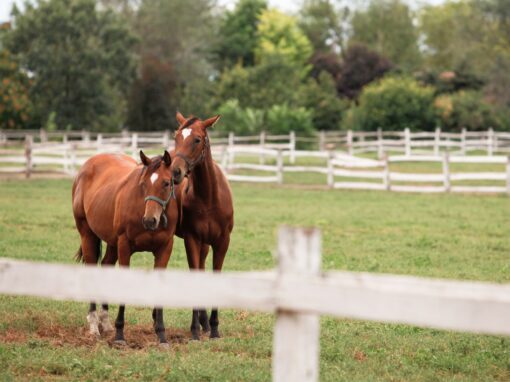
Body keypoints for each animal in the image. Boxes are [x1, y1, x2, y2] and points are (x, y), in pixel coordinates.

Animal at [71, 149, 178, 346]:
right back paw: (94, 326)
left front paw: (162, 336)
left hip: (112, 244)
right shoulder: (124, 246)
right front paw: (120, 336)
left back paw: (105, 323)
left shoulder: (165, 250)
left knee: (106, 265)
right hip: (87, 235)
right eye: (143, 183)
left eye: (167, 183)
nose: (149, 220)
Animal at [171, 112, 235, 338]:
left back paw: (206, 322)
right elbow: (195, 274)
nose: (175, 171)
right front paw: (195, 329)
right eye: (176, 137)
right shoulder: (192, 239)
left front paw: (214, 327)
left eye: (197, 139)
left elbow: (214, 274)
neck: (209, 197)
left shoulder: (222, 241)